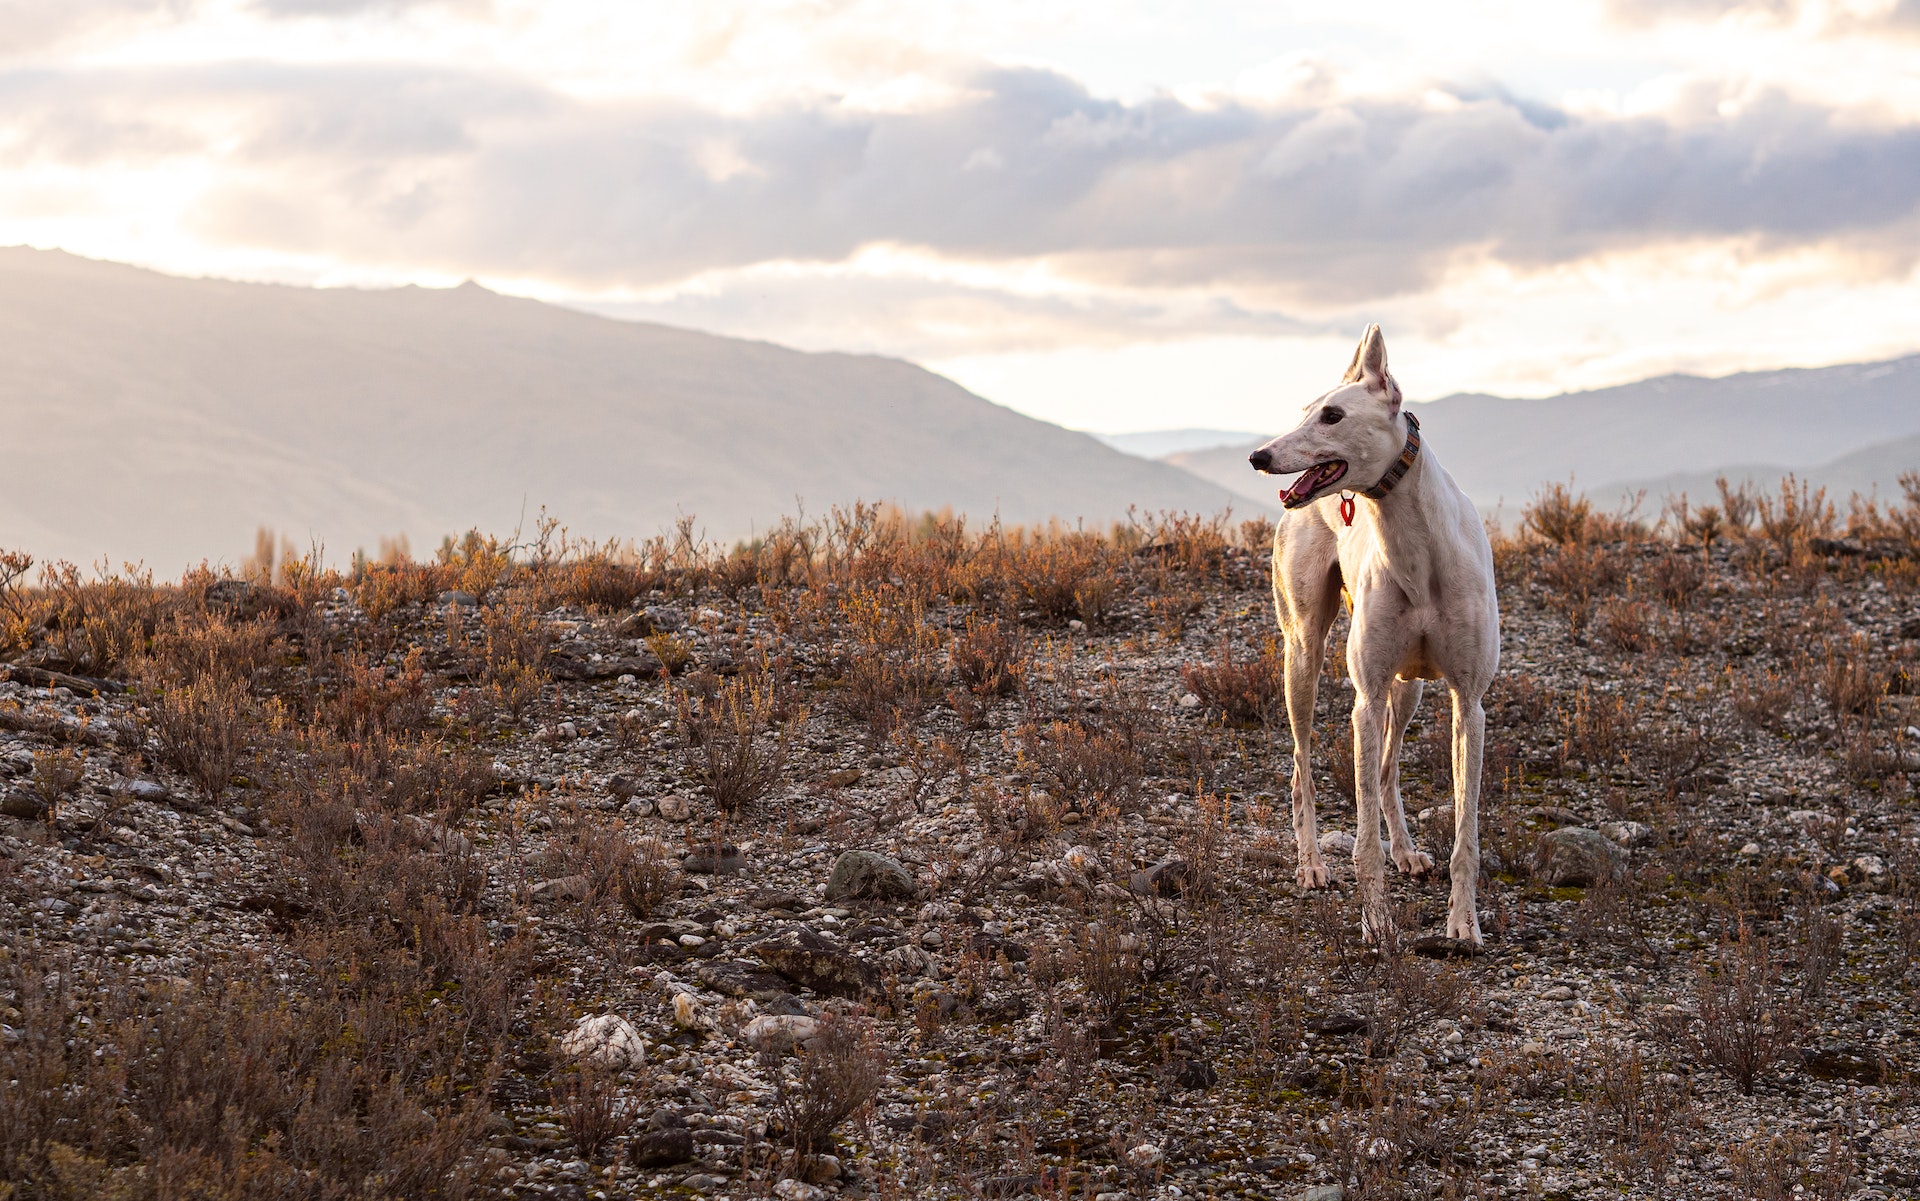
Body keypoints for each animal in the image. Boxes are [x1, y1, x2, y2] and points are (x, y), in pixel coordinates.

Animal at [1251, 328, 1505, 943]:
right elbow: (1364, 841)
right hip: (1304, 655)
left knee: (1389, 769)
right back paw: (1312, 864)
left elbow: (1465, 834)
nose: (1259, 455)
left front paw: (1464, 924)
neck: (1419, 550)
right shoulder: (1364, 699)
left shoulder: (1469, 703)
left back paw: (1407, 850)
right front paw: (1377, 924)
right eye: (1304, 410)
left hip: (1408, 685)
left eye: (1333, 415)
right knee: (1301, 768)